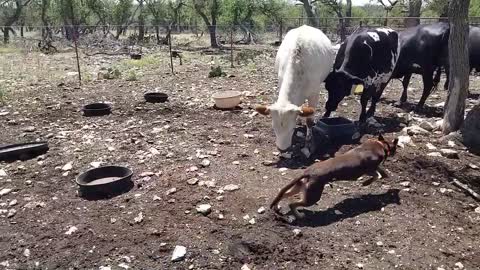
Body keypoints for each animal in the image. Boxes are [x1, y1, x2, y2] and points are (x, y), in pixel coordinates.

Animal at [255, 25, 334, 156]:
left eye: (291, 129)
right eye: (273, 128)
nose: (282, 149)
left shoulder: (314, 94)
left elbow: (309, 120)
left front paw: (308, 143)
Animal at [270, 133, 398, 219]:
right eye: (395, 147)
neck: (381, 144)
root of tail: (307, 172)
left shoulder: (374, 167)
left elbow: (381, 172)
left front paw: (384, 175)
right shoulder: (369, 169)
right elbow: (376, 175)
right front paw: (366, 182)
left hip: (300, 188)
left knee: (283, 195)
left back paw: (277, 207)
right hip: (313, 196)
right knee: (292, 204)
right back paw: (299, 215)